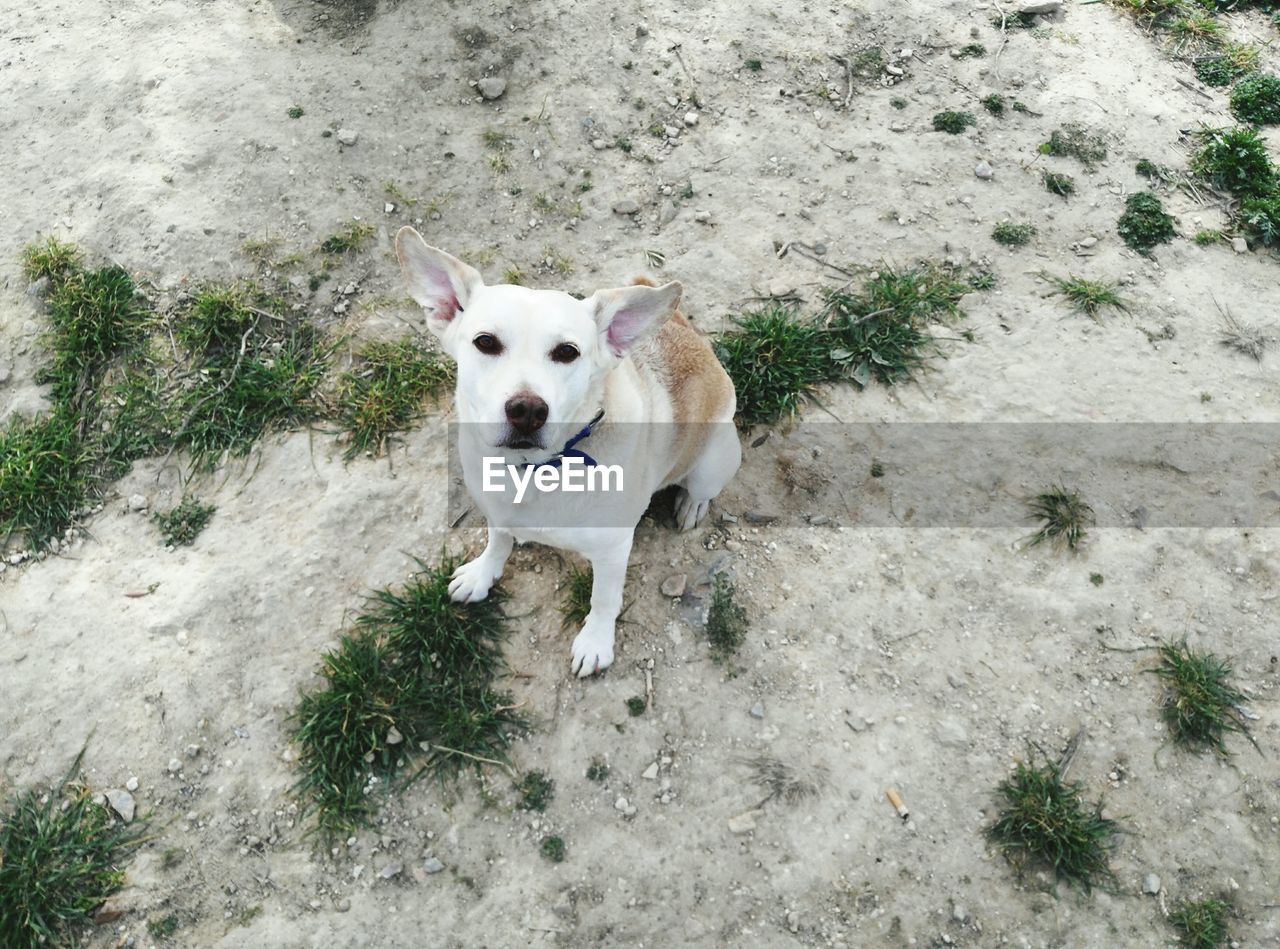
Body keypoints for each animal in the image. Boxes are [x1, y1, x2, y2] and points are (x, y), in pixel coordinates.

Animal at [396, 226, 742, 676]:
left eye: (567, 352)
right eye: (485, 342)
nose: (527, 410)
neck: (533, 472)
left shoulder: (613, 551)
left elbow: (604, 600)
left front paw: (596, 642)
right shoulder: (496, 512)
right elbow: (497, 543)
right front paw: (483, 574)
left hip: (712, 460)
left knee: (701, 487)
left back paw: (691, 504)